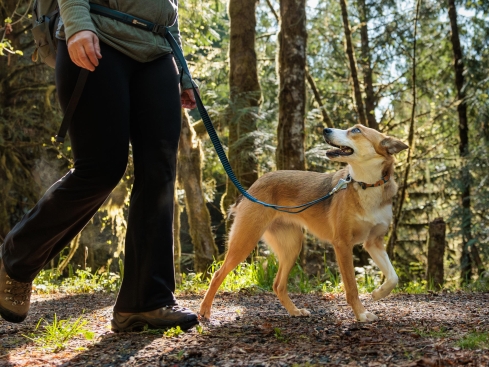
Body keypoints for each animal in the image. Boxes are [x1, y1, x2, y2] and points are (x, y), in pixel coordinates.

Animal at [198, 125, 408, 324]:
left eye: (356, 130)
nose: (326, 130)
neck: (367, 185)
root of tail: (253, 186)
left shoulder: (374, 242)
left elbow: (393, 277)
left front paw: (379, 293)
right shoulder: (342, 244)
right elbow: (352, 287)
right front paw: (361, 314)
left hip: (292, 246)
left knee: (278, 284)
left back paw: (294, 311)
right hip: (246, 240)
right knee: (218, 274)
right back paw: (205, 311)